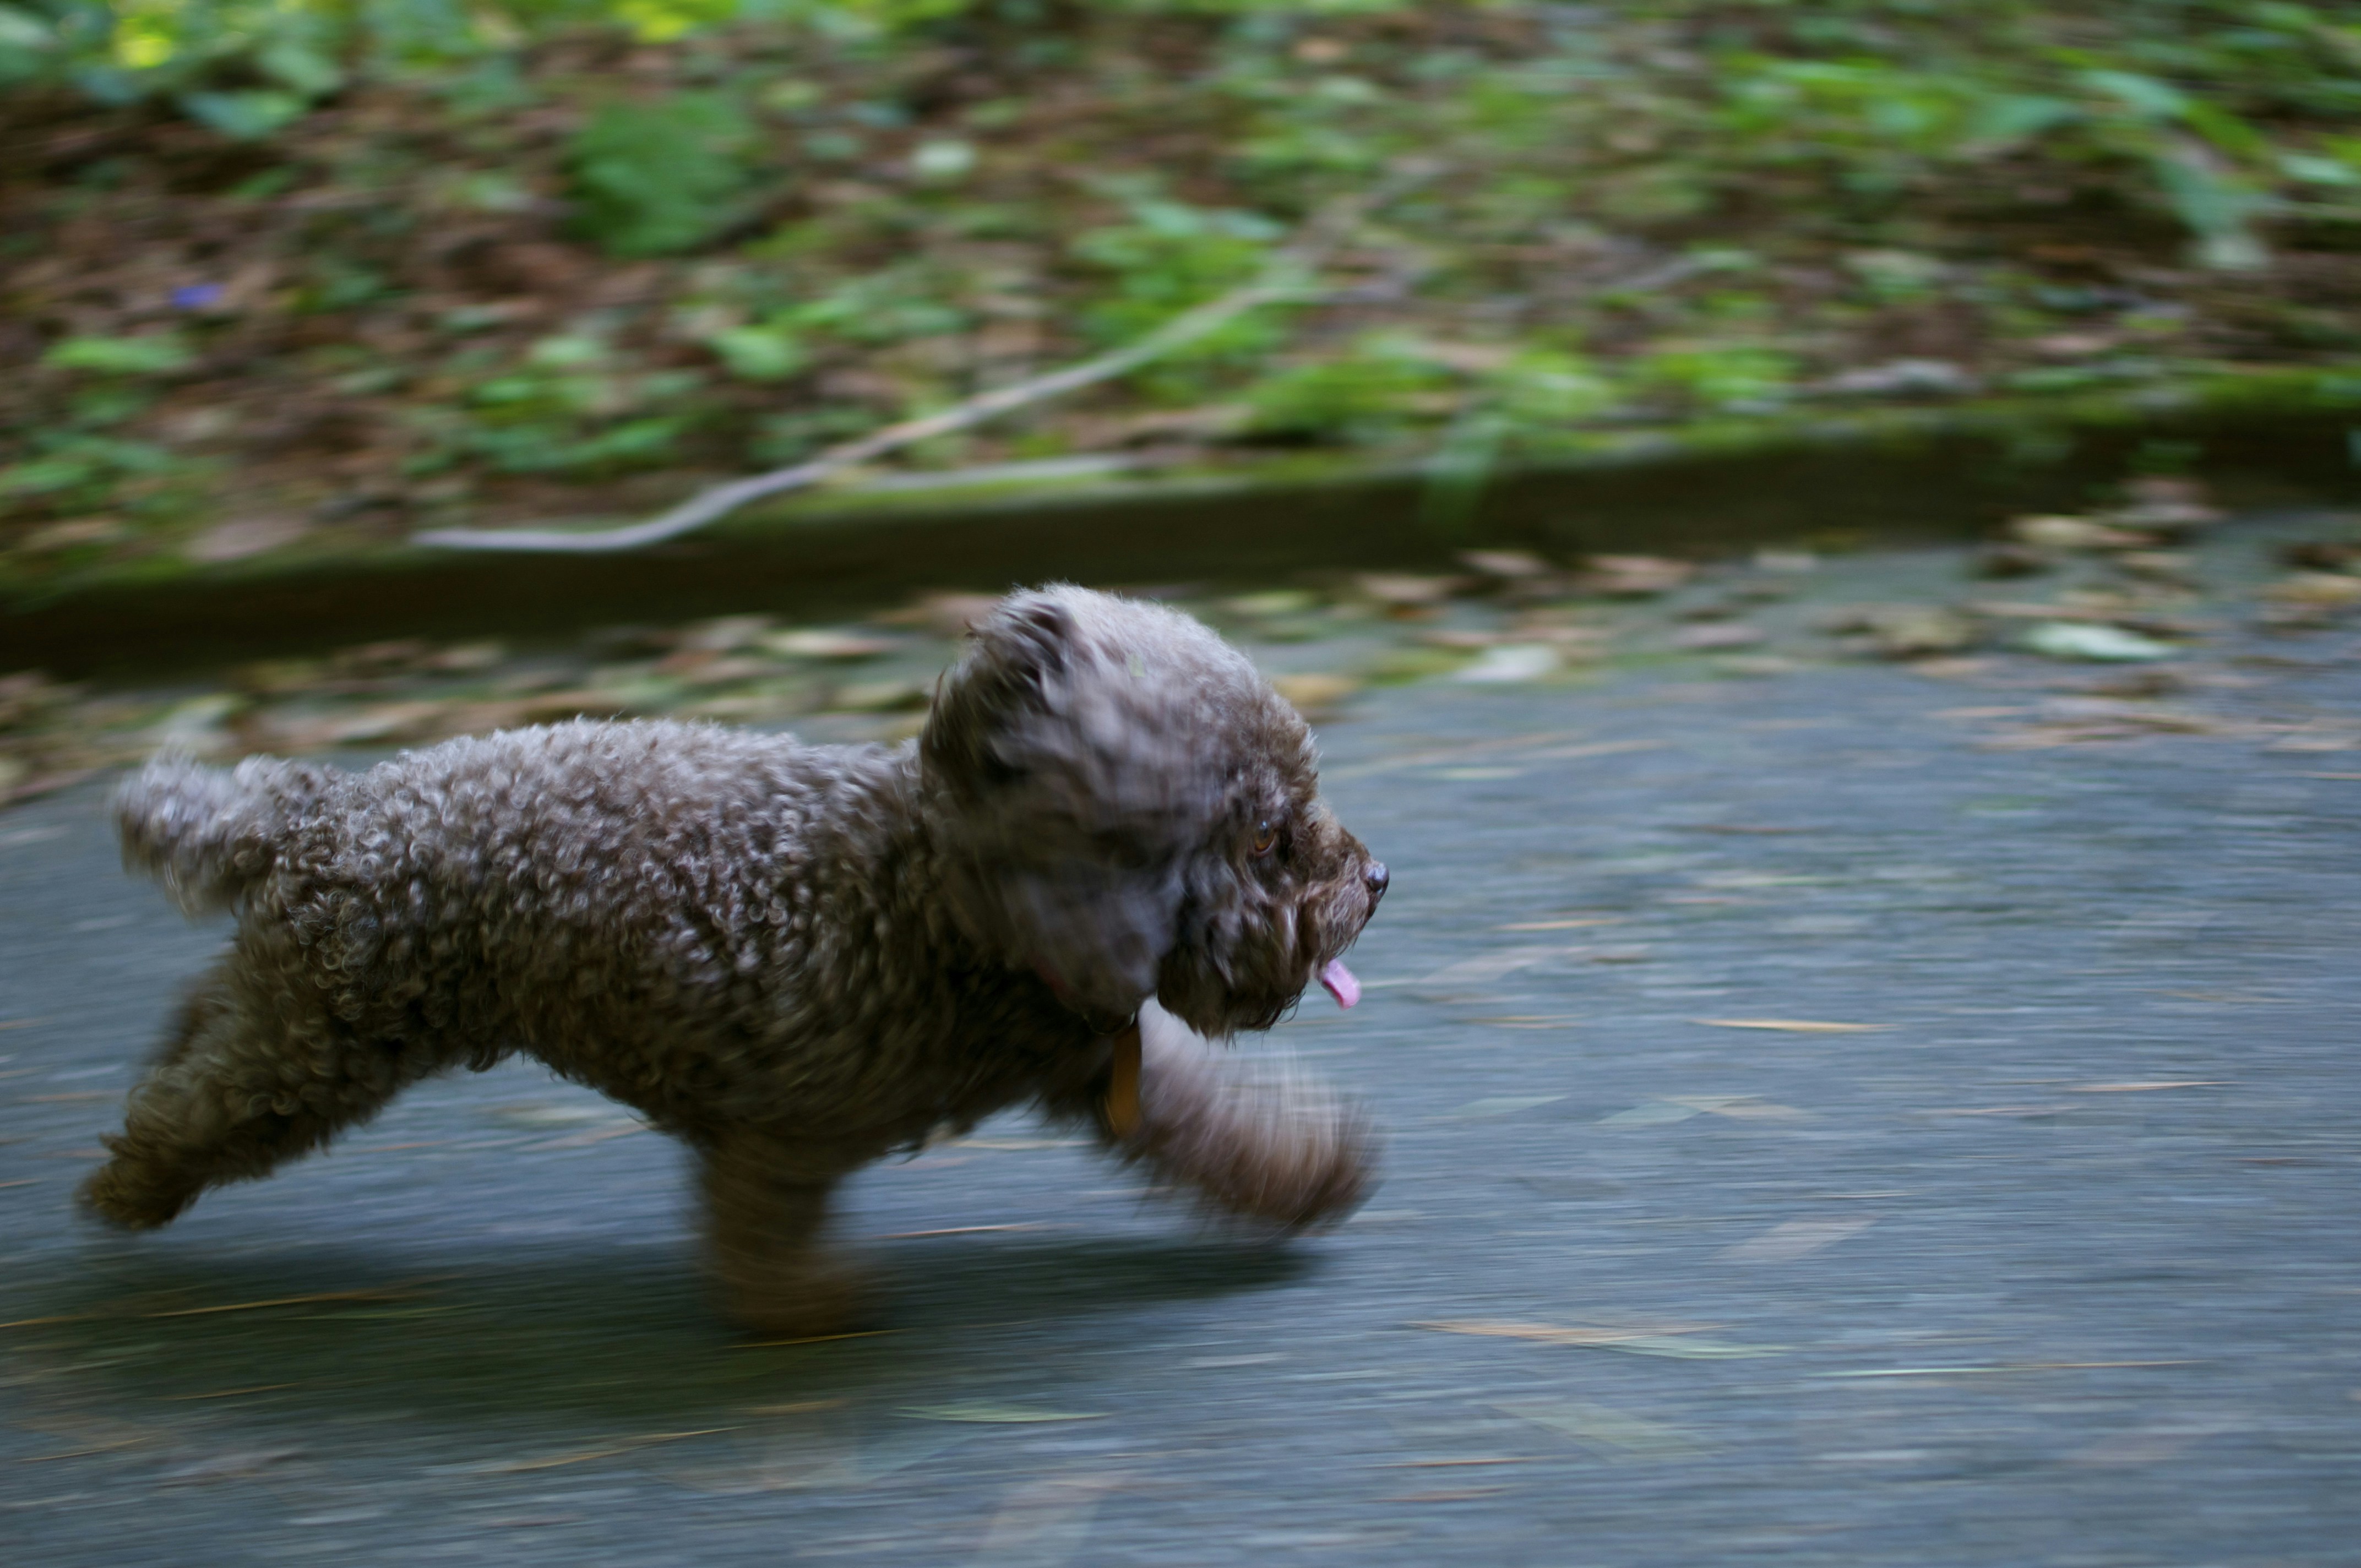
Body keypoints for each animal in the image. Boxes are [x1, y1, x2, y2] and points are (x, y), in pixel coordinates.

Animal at [87, 588, 1379, 1332]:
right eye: (1266, 841)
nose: (1372, 881)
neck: (956, 904)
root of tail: (323, 808)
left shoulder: (1095, 1065)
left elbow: (1209, 1129)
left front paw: (1309, 1173)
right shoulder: (783, 1129)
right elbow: (756, 1235)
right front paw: (805, 1307)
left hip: (303, 996)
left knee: (205, 1018)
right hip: (329, 1039)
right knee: (201, 1107)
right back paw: (129, 1188)